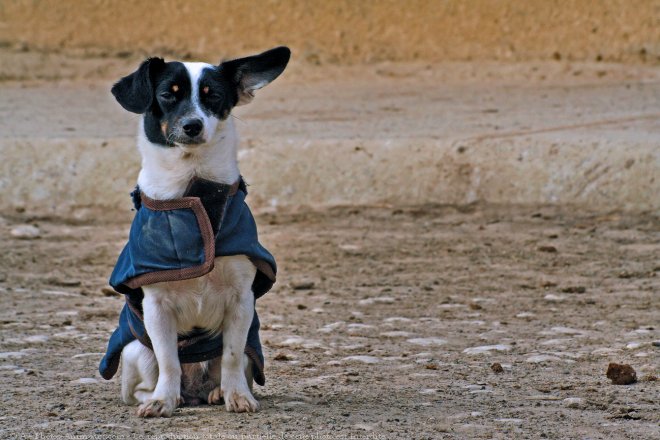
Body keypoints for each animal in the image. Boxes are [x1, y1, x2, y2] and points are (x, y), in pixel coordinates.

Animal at [97, 46, 288, 418]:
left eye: (213, 95)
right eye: (167, 95)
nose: (192, 125)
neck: (195, 187)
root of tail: (195, 390)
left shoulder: (241, 302)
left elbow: (230, 357)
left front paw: (236, 396)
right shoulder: (156, 306)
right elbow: (169, 360)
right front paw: (163, 401)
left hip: (249, 348)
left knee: (225, 367)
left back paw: (216, 392)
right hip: (135, 351)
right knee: (146, 381)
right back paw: (170, 396)